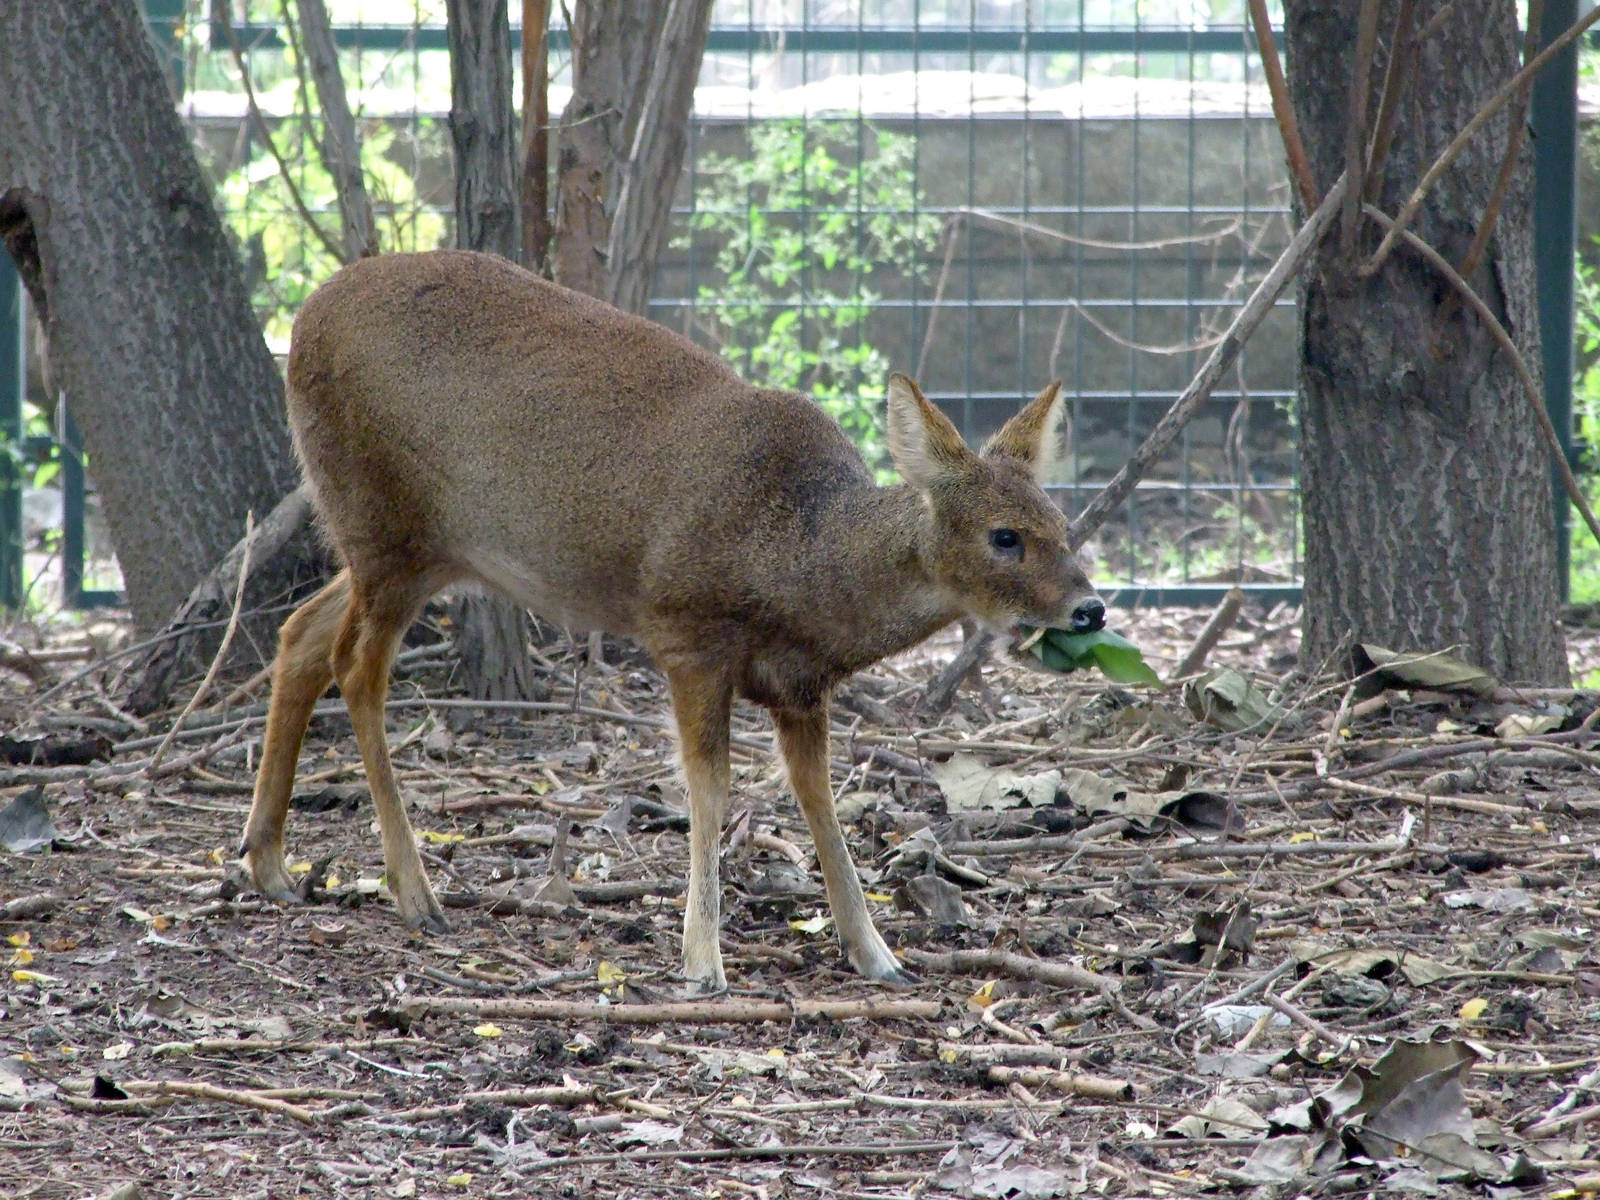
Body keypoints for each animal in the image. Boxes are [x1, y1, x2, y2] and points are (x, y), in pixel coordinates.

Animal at [240, 249, 1105, 991]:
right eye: (1005, 536)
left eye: (1062, 522)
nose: (1090, 606)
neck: (798, 558)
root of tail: (306, 315)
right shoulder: (686, 632)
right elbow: (708, 787)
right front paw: (702, 960)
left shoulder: (801, 684)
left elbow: (818, 798)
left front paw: (876, 952)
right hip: (382, 521)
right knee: (355, 664)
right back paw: (414, 892)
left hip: (402, 548)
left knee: (302, 633)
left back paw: (270, 862)